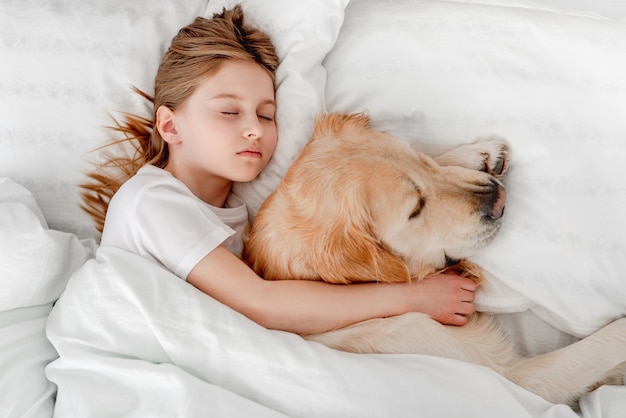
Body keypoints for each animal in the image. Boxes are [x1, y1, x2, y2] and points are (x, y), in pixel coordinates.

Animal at [244, 112, 624, 404]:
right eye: (415, 209)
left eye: (419, 157)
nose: (499, 199)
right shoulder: (508, 375)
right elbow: (606, 343)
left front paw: (475, 154)